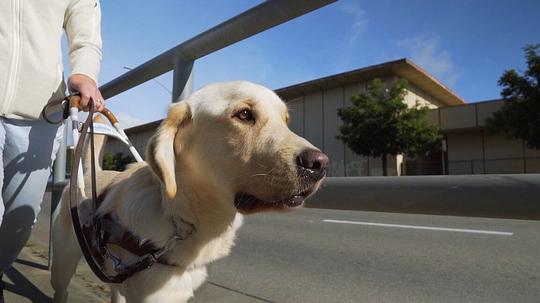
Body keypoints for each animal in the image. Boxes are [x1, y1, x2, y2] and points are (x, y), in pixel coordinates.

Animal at [50, 81, 330, 303]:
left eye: (286, 121)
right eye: (244, 114)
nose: (319, 164)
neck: (181, 219)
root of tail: (91, 172)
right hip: (62, 266)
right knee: (61, 291)